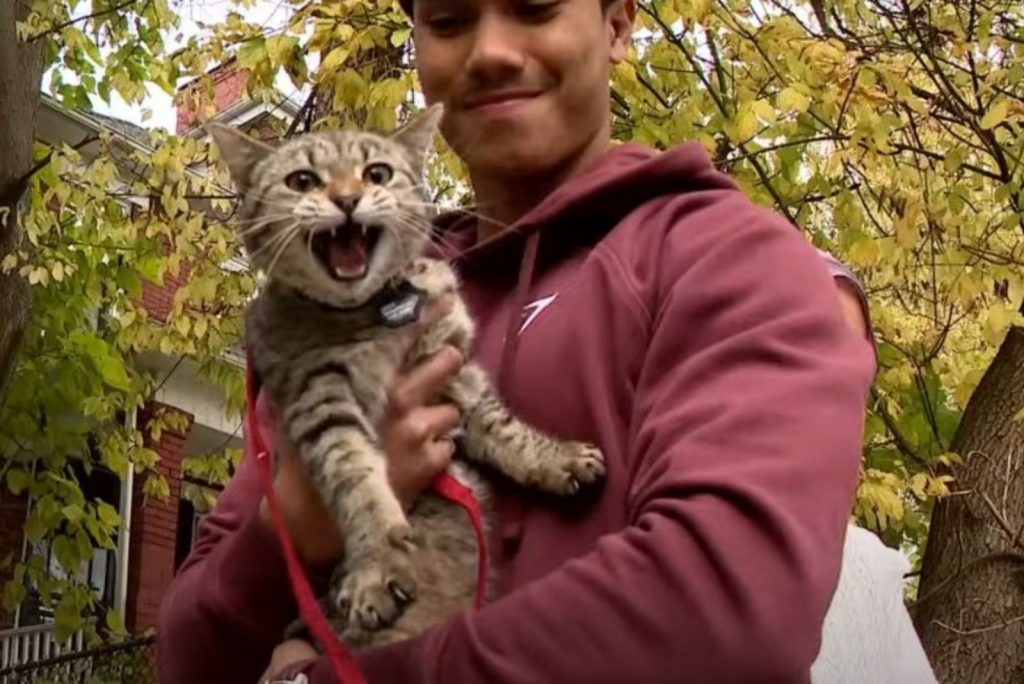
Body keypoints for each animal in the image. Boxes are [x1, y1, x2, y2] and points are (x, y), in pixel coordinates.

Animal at [210, 107, 602, 647]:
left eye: (377, 173)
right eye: (302, 181)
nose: (347, 199)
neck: (374, 312)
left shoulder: (450, 367)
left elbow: (502, 426)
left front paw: (555, 457)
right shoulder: (319, 396)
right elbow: (357, 479)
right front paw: (378, 561)